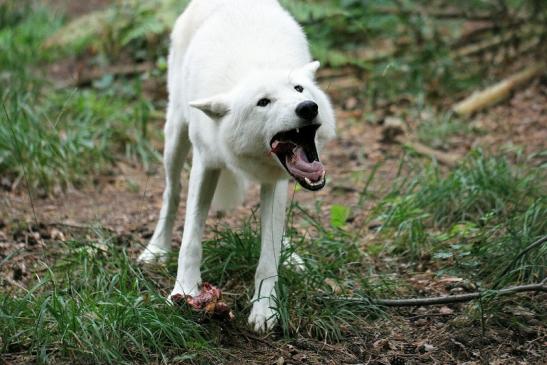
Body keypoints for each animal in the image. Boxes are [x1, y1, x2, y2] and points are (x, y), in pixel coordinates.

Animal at [139, 0, 336, 330]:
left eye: (298, 89)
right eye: (263, 102)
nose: (308, 107)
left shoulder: (275, 181)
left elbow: (268, 256)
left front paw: (264, 310)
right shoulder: (205, 164)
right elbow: (190, 240)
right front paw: (184, 290)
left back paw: (291, 256)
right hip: (175, 136)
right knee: (171, 193)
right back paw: (156, 248)